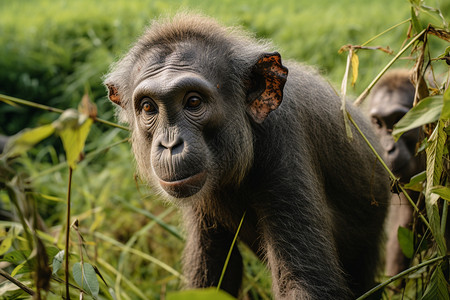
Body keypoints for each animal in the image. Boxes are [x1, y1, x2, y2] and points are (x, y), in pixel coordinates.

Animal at [104, 13, 390, 298]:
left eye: (193, 102)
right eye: (148, 107)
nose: (170, 143)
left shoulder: (283, 143)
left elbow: (303, 282)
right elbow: (213, 272)